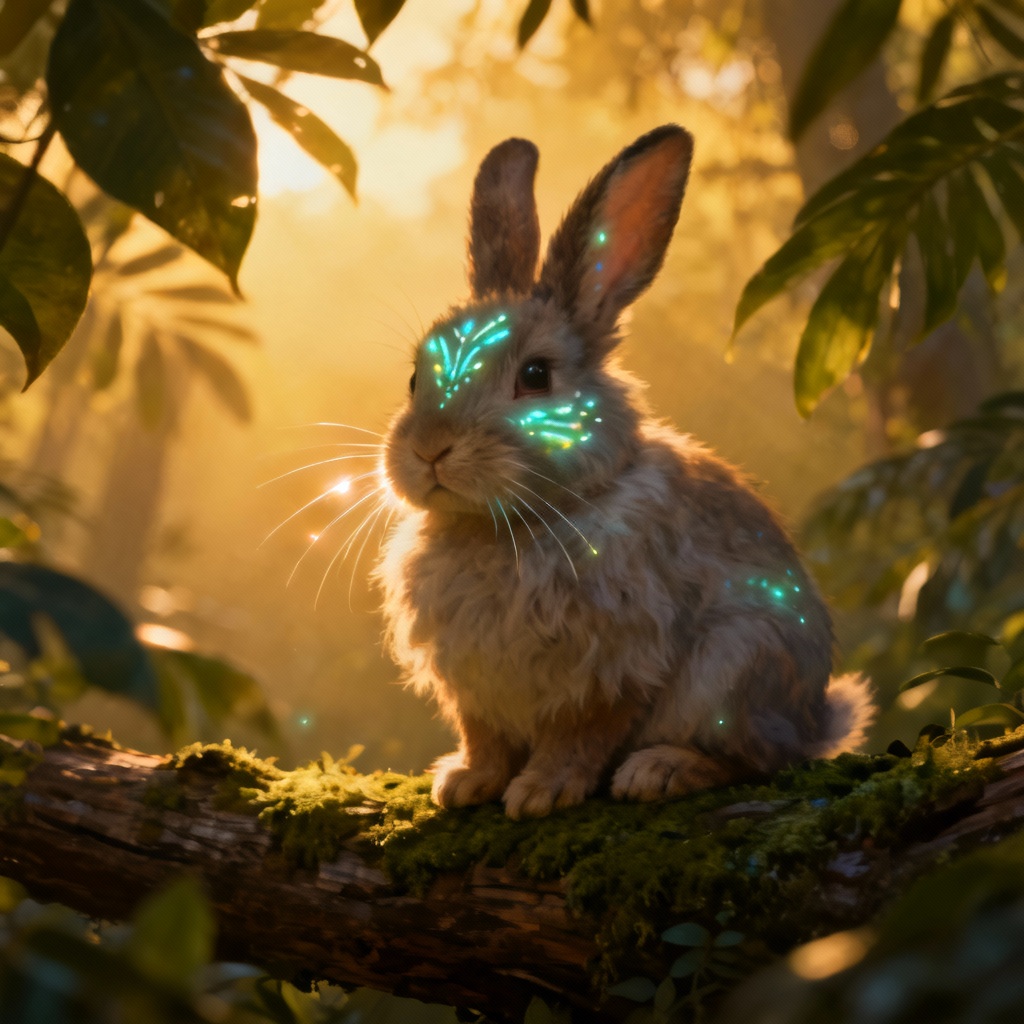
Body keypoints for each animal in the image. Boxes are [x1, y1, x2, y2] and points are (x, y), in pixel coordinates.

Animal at [376, 125, 875, 819]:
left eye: (536, 376)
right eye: (415, 378)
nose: (429, 449)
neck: (510, 524)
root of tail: (816, 720)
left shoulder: (614, 665)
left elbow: (582, 734)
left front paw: (541, 792)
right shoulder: (474, 689)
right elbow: (485, 737)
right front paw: (467, 783)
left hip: (734, 665)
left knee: (756, 760)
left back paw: (660, 771)